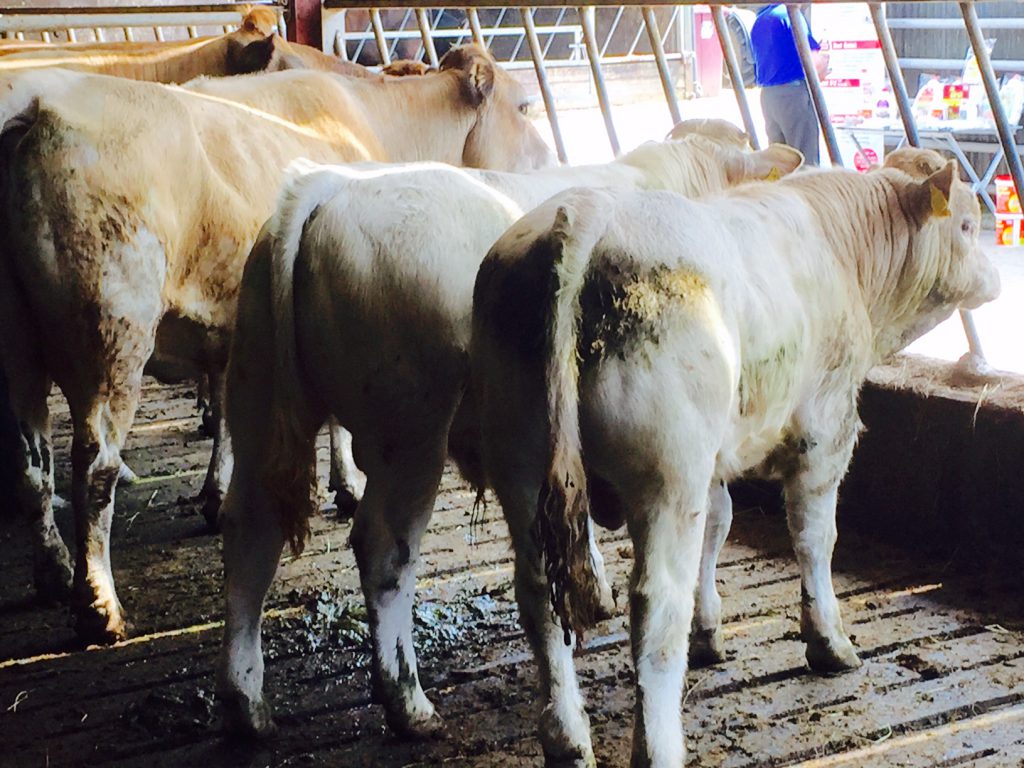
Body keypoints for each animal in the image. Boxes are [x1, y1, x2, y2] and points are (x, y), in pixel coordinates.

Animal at [0, 43, 552, 646]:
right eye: (525, 104)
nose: (551, 159)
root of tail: (35, 112)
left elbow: (225, 409)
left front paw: (217, 494)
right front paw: (346, 484)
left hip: (19, 349)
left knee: (32, 462)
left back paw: (54, 572)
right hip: (112, 332)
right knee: (93, 466)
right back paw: (98, 603)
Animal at [213, 124, 803, 739]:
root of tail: (326, 185)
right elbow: (718, 517)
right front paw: (707, 628)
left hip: (256, 387)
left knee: (251, 529)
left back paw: (245, 700)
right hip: (411, 428)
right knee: (382, 546)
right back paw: (408, 702)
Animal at [468, 148, 1000, 767]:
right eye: (967, 225)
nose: (995, 277)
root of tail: (587, 213)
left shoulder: (716, 461)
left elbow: (718, 528)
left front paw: (709, 634)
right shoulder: (825, 431)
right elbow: (815, 538)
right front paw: (829, 642)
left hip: (521, 463)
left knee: (537, 593)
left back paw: (567, 736)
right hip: (667, 472)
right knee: (654, 606)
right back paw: (657, 746)